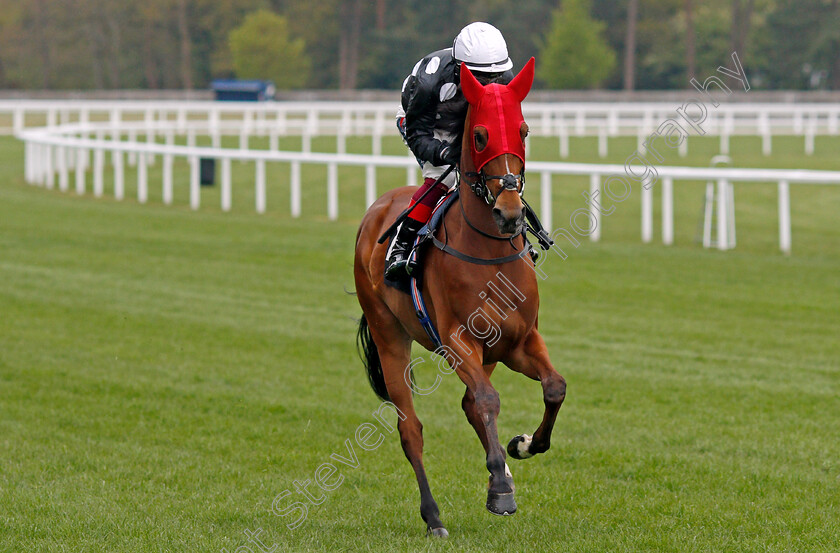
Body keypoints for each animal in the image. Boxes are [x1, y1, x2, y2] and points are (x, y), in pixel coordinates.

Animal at [352, 58, 568, 536]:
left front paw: (523, 445)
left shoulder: (519, 341)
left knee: (471, 404)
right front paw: (500, 489)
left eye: (524, 130)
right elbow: (488, 400)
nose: (509, 213)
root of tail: (376, 209)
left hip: (488, 352)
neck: (487, 251)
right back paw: (434, 516)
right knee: (412, 430)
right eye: (480, 135)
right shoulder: (457, 341)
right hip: (388, 334)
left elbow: (554, 388)